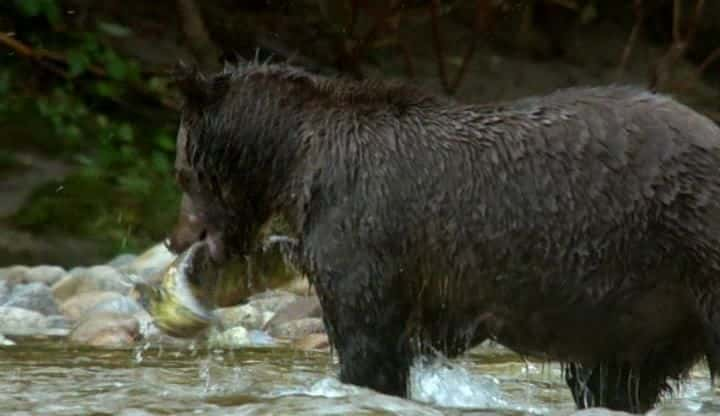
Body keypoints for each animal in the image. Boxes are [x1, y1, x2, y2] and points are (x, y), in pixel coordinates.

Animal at [166, 57, 720, 412]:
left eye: (182, 173)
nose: (178, 238)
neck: (297, 159)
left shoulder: (363, 230)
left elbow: (366, 342)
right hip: (637, 309)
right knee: (612, 380)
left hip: (687, 245)